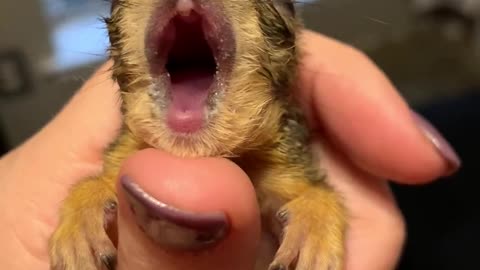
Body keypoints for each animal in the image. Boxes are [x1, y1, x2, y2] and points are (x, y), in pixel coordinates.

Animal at [49, 0, 344, 268]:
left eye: (285, 4)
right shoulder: (124, 150)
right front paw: (82, 215)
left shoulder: (287, 159)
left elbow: (318, 191)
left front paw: (314, 223)